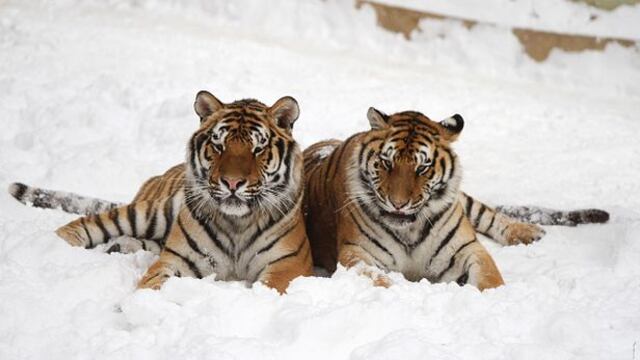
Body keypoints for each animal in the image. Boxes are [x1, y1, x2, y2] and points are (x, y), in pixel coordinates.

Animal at [8, 90, 312, 292]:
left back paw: (120, 246)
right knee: (84, 224)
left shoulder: (288, 266)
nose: (232, 183)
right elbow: (153, 283)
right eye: (219, 146)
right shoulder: (178, 260)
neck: (237, 223)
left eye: (257, 149)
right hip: (151, 212)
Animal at [302, 107, 608, 290]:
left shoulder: (466, 250)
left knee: (491, 215)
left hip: (465, 202)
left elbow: (490, 278)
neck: (409, 229)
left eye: (422, 168)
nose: (398, 203)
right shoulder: (357, 254)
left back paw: (526, 231)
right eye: (387, 163)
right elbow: (381, 280)